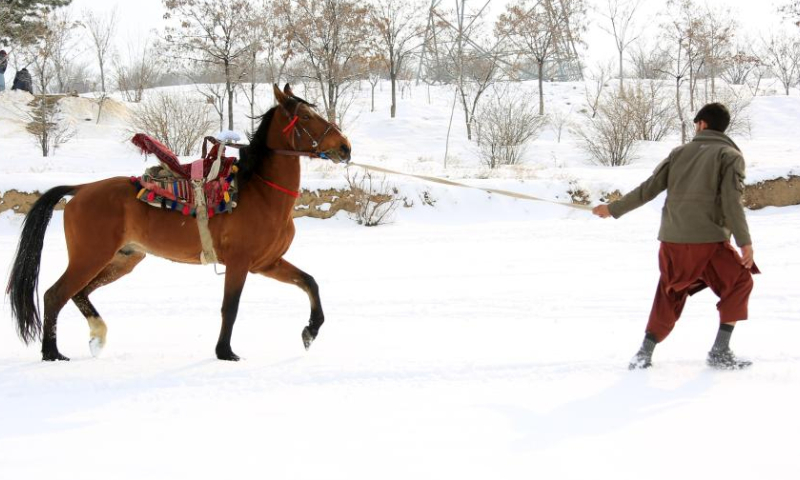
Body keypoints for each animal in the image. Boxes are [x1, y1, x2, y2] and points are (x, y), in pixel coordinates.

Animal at [6, 84, 350, 360]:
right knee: (55, 295)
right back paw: (52, 353)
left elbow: (309, 282)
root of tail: (81, 190)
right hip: (90, 257)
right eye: (304, 117)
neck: (261, 193)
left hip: (123, 259)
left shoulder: (267, 263)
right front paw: (225, 352)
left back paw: (95, 335)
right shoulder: (239, 263)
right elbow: (231, 307)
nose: (345, 147)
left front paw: (311, 330)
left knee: (78, 294)